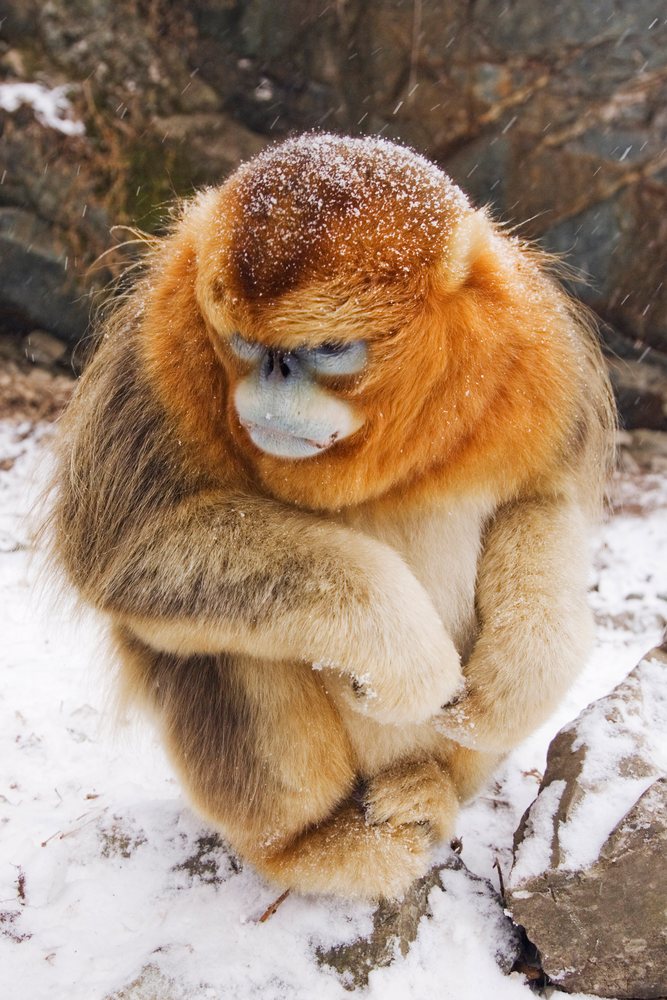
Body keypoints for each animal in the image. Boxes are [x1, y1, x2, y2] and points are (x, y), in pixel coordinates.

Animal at [49, 134, 615, 900]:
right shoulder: (158, 345)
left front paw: (516, 682)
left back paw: (428, 790)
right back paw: (312, 846)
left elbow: (540, 499)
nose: (272, 381)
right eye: (243, 344)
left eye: (328, 350)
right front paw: (403, 651)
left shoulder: (533, 346)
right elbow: (123, 549)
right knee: (220, 645)